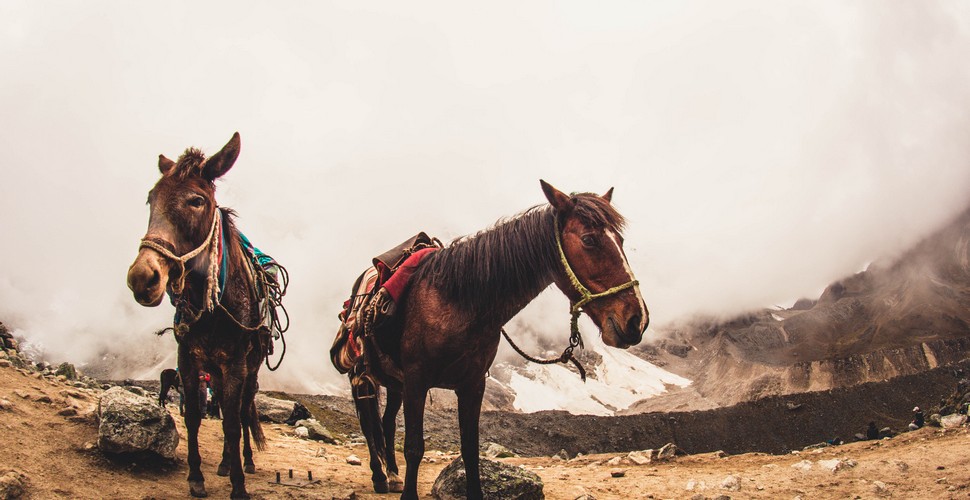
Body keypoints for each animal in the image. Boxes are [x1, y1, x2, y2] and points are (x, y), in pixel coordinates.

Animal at [126, 134, 268, 500]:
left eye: (196, 201)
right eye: (151, 199)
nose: (142, 278)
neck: (213, 308)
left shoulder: (236, 364)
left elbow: (232, 423)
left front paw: (239, 487)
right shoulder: (187, 358)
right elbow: (193, 416)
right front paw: (196, 477)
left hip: (250, 370)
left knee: (243, 412)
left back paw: (245, 462)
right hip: (214, 371)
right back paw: (224, 463)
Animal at [374, 179, 648, 496]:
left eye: (621, 241)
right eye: (589, 239)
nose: (637, 320)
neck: (457, 303)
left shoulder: (472, 384)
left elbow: (470, 450)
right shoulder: (416, 381)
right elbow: (414, 448)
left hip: (394, 384)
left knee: (385, 422)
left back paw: (391, 476)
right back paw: (380, 477)